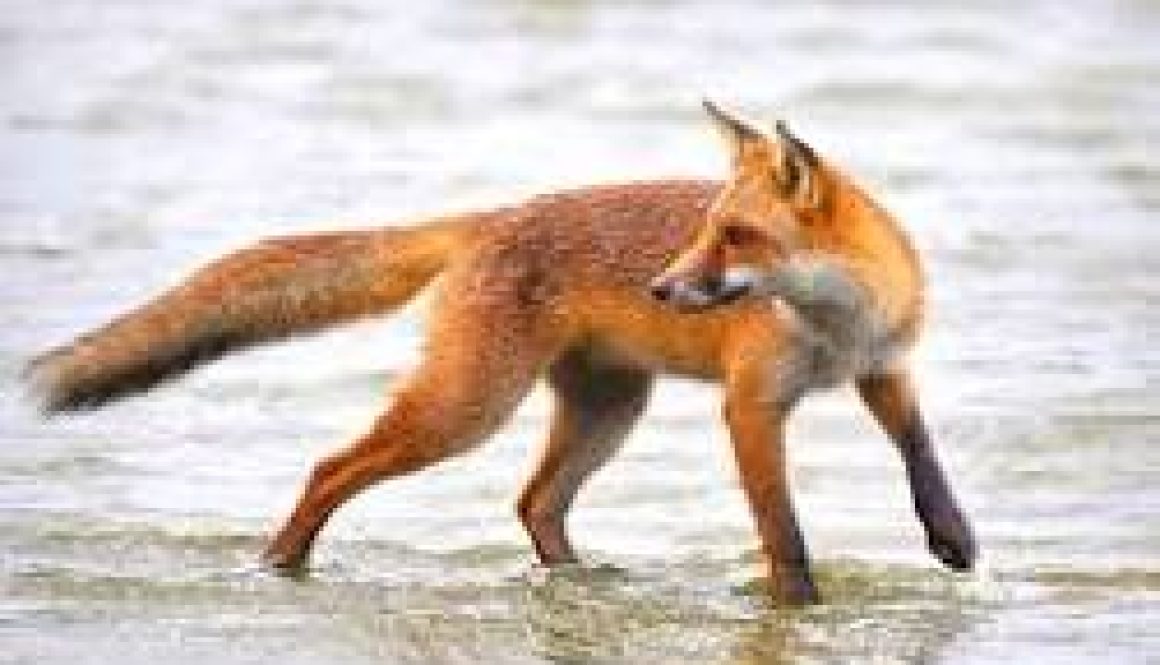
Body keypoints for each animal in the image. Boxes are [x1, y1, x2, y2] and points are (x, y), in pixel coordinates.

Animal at [25, 101, 976, 604]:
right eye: (706, 228)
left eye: (735, 236)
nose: (662, 288)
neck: (835, 328)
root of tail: (491, 216)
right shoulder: (749, 404)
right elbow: (784, 531)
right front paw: (800, 606)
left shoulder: (882, 367)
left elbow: (922, 450)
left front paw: (953, 535)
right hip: (467, 410)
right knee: (332, 467)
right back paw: (280, 565)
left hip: (605, 410)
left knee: (533, 502)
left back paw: (579, 578)